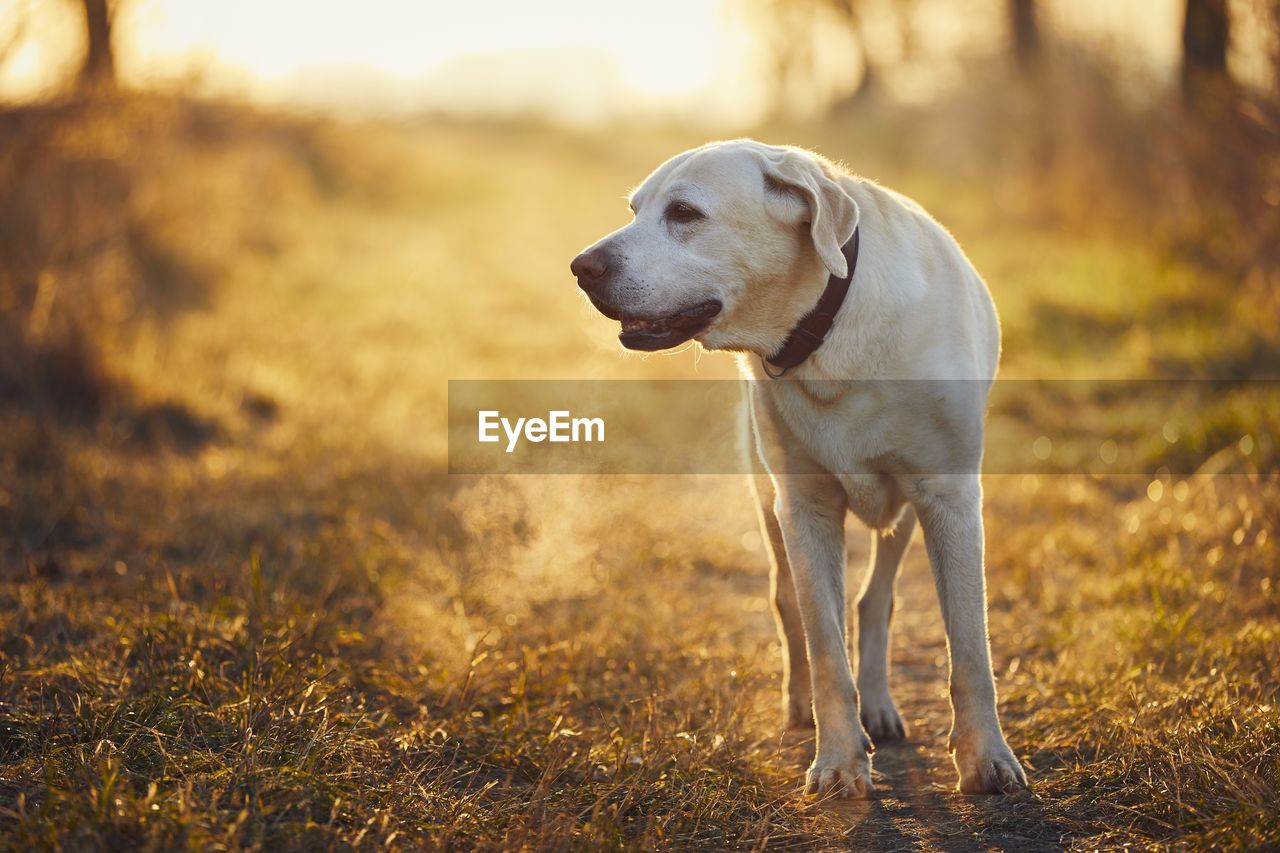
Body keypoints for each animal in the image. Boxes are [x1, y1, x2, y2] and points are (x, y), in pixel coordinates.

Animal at [573, 139, 1029, 799]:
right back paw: (805, 704)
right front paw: (839, 759)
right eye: (635, 210)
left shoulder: (950, 501)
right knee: (791, 600)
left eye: (684, 213)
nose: (581, 267)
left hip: (906, 514)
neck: (828, 329)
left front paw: (986, 758)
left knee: (876, 600)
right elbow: (824, 647)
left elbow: (970, 648)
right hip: (767, 500)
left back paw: (881, 706)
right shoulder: (805, 506)